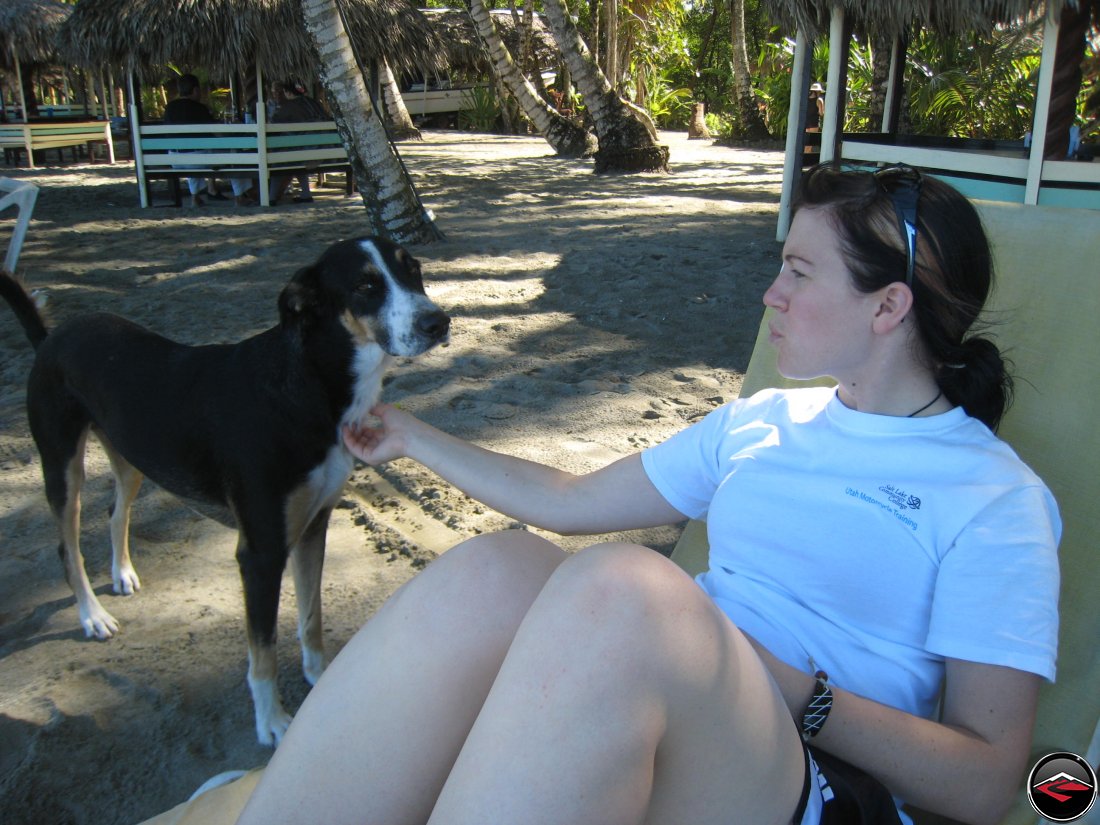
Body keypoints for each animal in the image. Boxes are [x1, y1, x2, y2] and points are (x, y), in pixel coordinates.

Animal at [0, 235, 448, 748]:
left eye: (412, 269)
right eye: (365, 286)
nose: (438, 322)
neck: (309, 384)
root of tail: (51, 336)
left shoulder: (314, 526)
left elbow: (311, 617)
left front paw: (320, 676)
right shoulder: (261, 553)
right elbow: (264, 651)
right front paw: (272, 721)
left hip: (133, 457)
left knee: (116, 513)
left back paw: (122, 573)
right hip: (62, 467)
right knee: (67, 547)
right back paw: (92, 614)